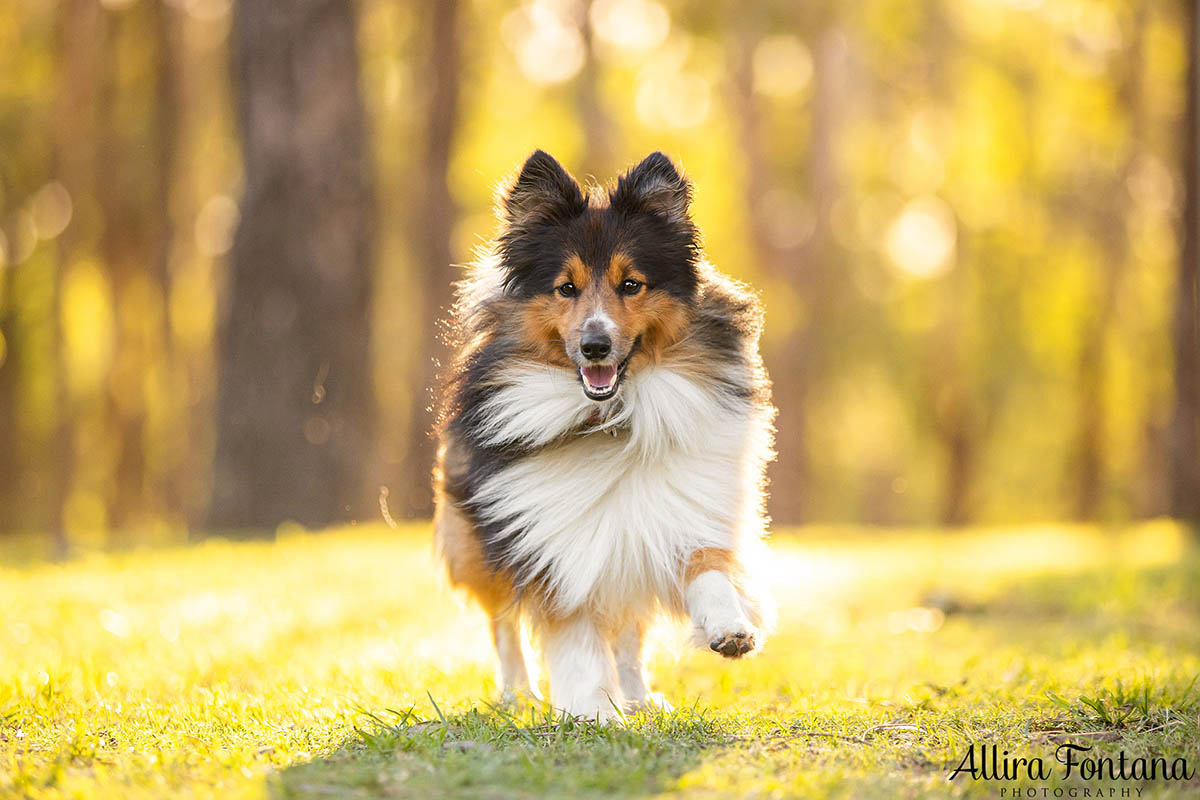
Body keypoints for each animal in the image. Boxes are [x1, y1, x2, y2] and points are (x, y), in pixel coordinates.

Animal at [434, 148, 777, 719]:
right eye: (566, 287)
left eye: (631, 284)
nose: (595, 346)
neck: (616, 418)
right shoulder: (549, 541)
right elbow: (574, 636)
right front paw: (589, 708)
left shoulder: (681, 508)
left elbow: (707, 568)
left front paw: (730, 628)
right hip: (475, 539)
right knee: (504, 622)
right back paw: (518, 693)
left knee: (628, 631)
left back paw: (638, 697)